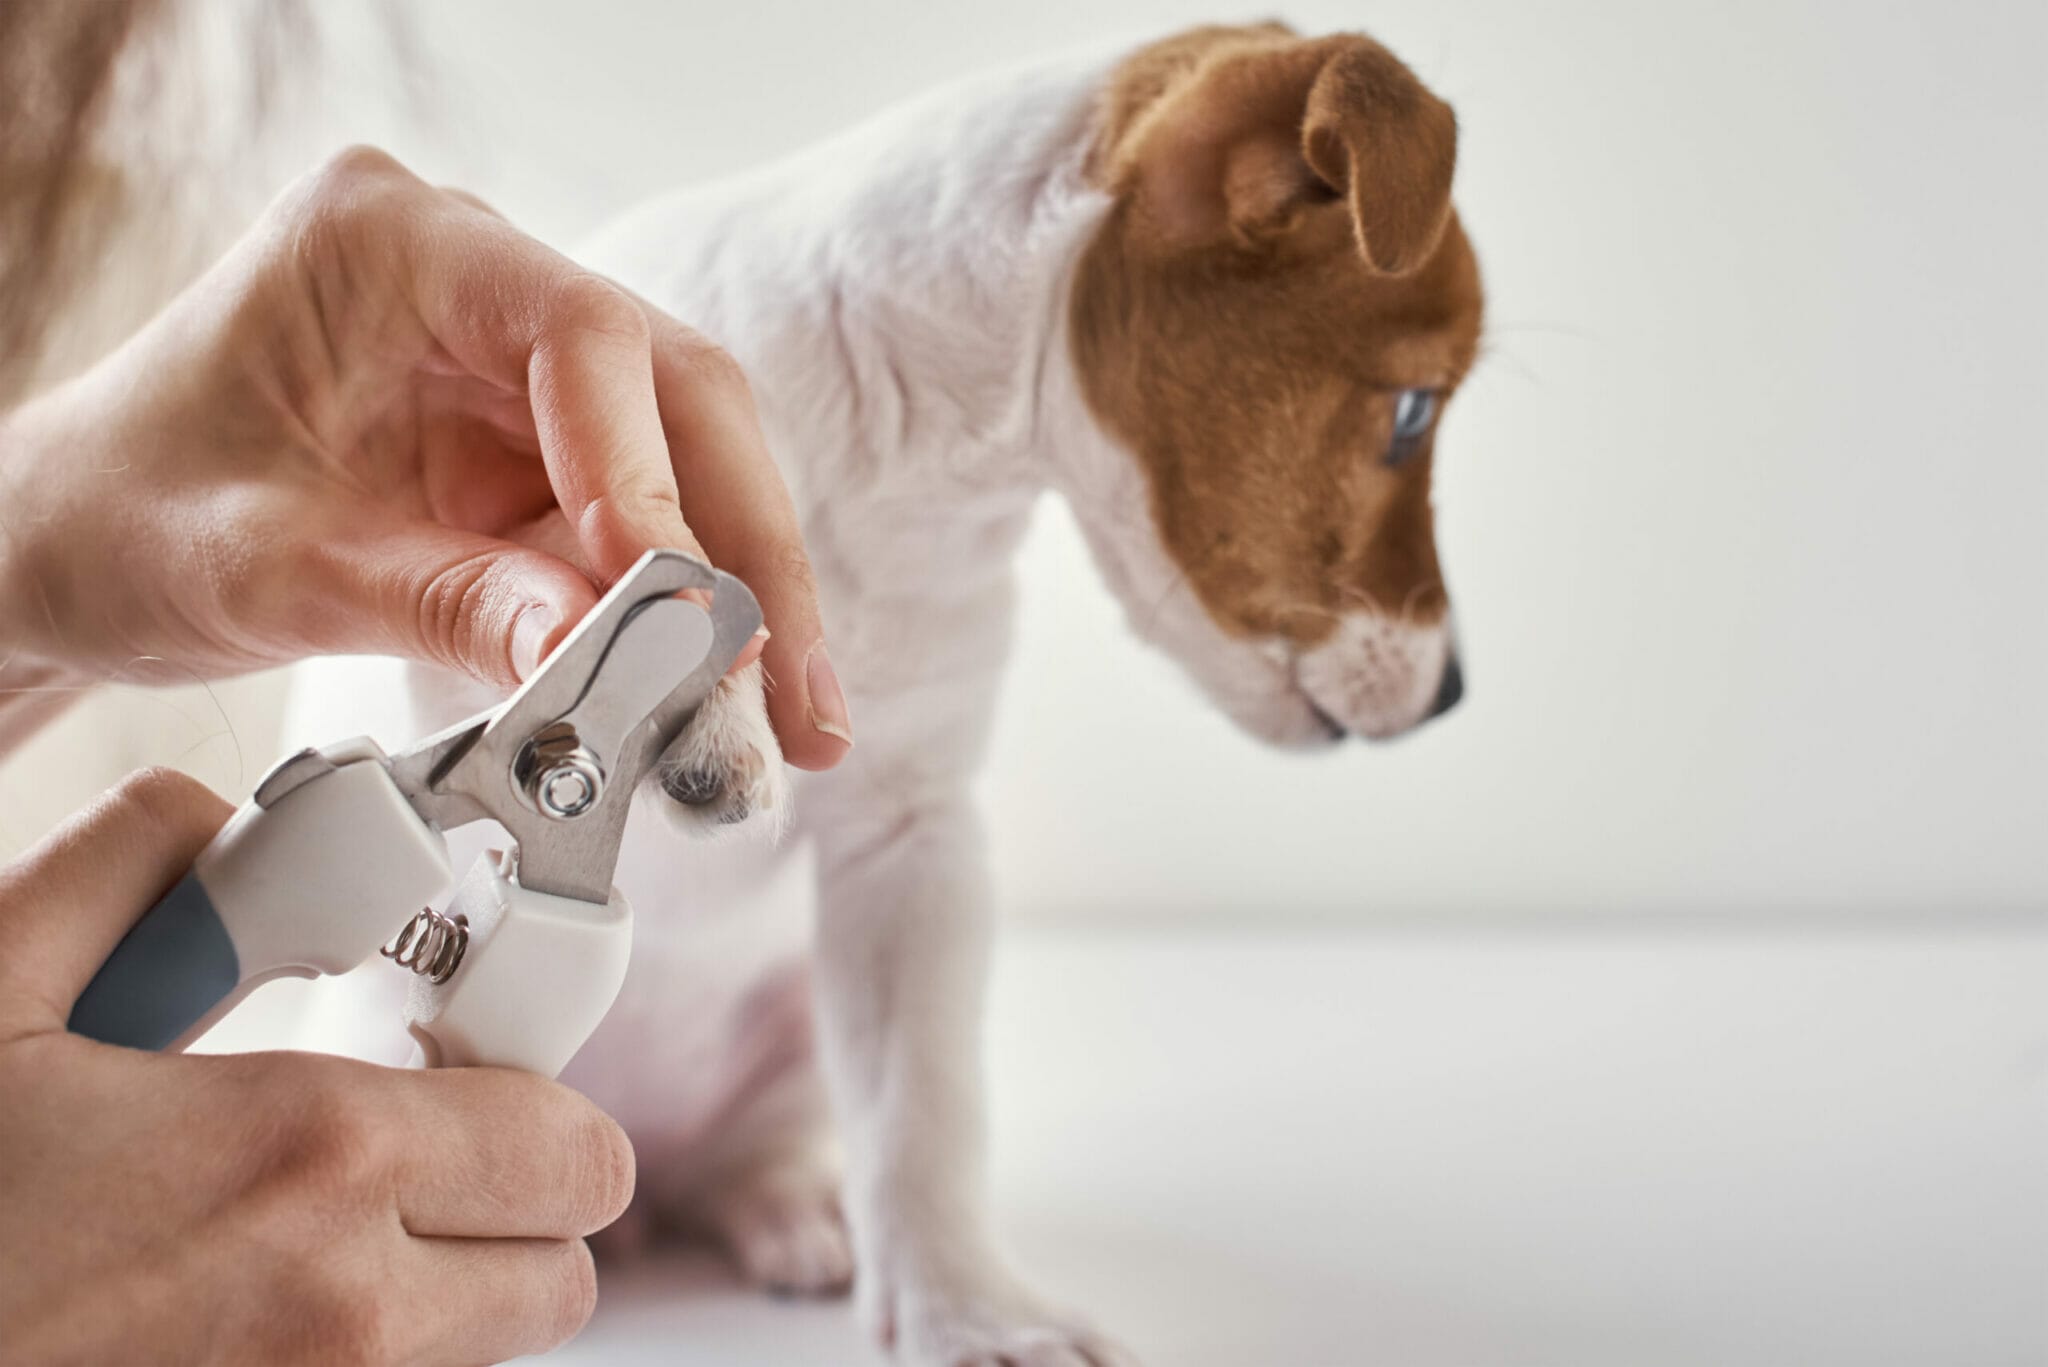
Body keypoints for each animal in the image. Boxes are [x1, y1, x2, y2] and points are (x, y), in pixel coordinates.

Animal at [292, 16, 1474, 1360]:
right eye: (1413, 411)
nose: (1454, 693)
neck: (895, 458)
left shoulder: (911, 845)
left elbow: (920, 1107)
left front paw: (967, 1306)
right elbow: (580, 558)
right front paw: (710, 692)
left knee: (759, 1151)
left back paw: (791, 1209)